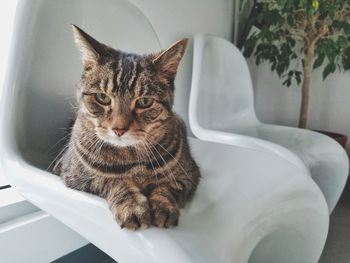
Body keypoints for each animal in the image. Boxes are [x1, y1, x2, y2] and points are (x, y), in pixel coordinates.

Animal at [52, 25, 201, 231]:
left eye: (144, 101)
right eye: (102, 97)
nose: (119, 129)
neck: (132, 161)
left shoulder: (189, 175)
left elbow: (166, 186)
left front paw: (163, 205)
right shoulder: (72, 174)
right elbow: (113, 180)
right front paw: (132, 205)